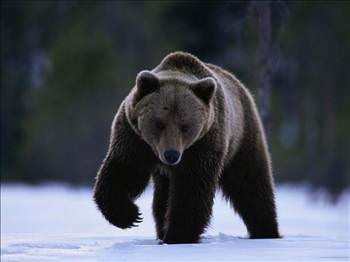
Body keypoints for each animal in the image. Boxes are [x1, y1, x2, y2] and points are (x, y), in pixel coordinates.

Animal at [92, 51, 278, 244]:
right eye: (159, 123)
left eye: (185, 126)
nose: (171, 155)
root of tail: (240, 85)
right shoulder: (134, 138)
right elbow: (124, 170)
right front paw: (129, 215)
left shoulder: (203, 144)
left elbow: (192, 188)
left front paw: (178, 235)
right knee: (162, 197)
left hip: (241, 138)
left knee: (250, 183)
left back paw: (266, 231)